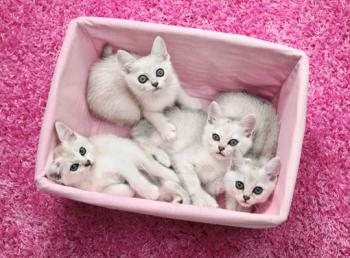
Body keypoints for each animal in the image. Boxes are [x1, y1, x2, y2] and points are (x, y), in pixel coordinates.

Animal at [45, 121, 191, 204]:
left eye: (82, 150)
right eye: (74, 167)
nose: (87, 162)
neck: (93, 172)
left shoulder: (122, 164)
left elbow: (135, 179)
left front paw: (149, 192)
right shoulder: (94, 190)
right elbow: (114, 191)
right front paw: (129, 190)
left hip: (133, 152)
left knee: (153, 166)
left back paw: (171, 174)